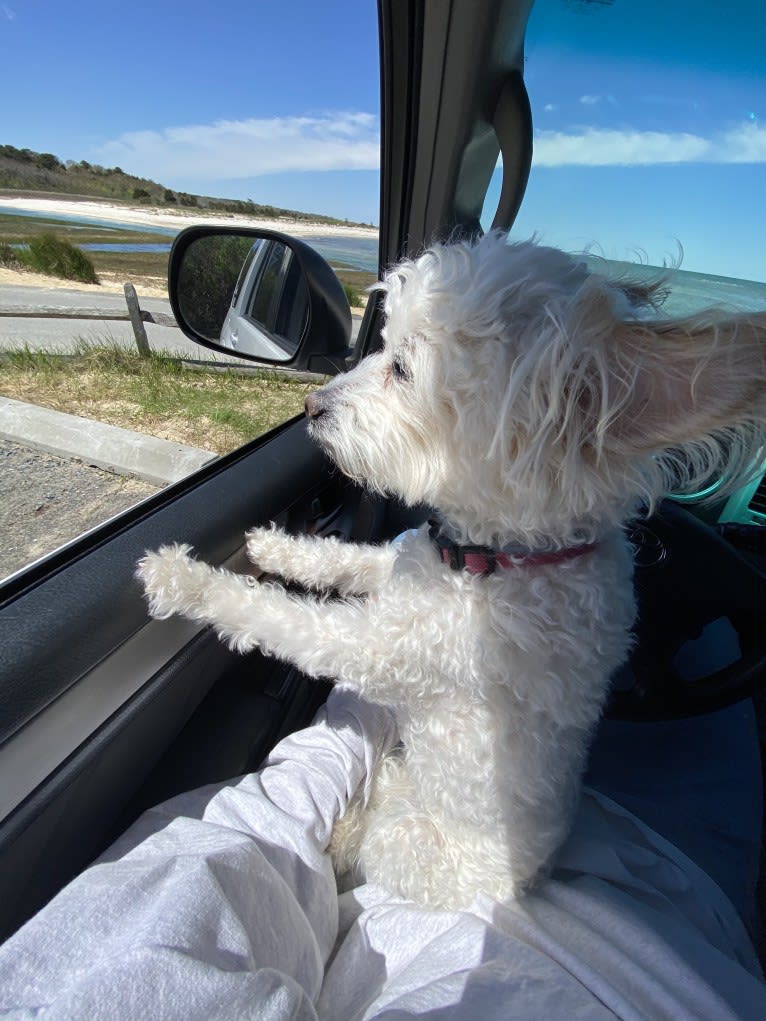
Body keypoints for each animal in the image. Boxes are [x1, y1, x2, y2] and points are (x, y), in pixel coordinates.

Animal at [139, 231, 766, 910]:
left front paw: (180, 579)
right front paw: (276, 548)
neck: (500, 560)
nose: (310, 404)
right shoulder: (401, 563)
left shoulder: (380, 650)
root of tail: (529, 881)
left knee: (378, 839)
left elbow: (277, 617)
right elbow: (349, 559)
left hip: (408, 842)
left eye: (403, 369)